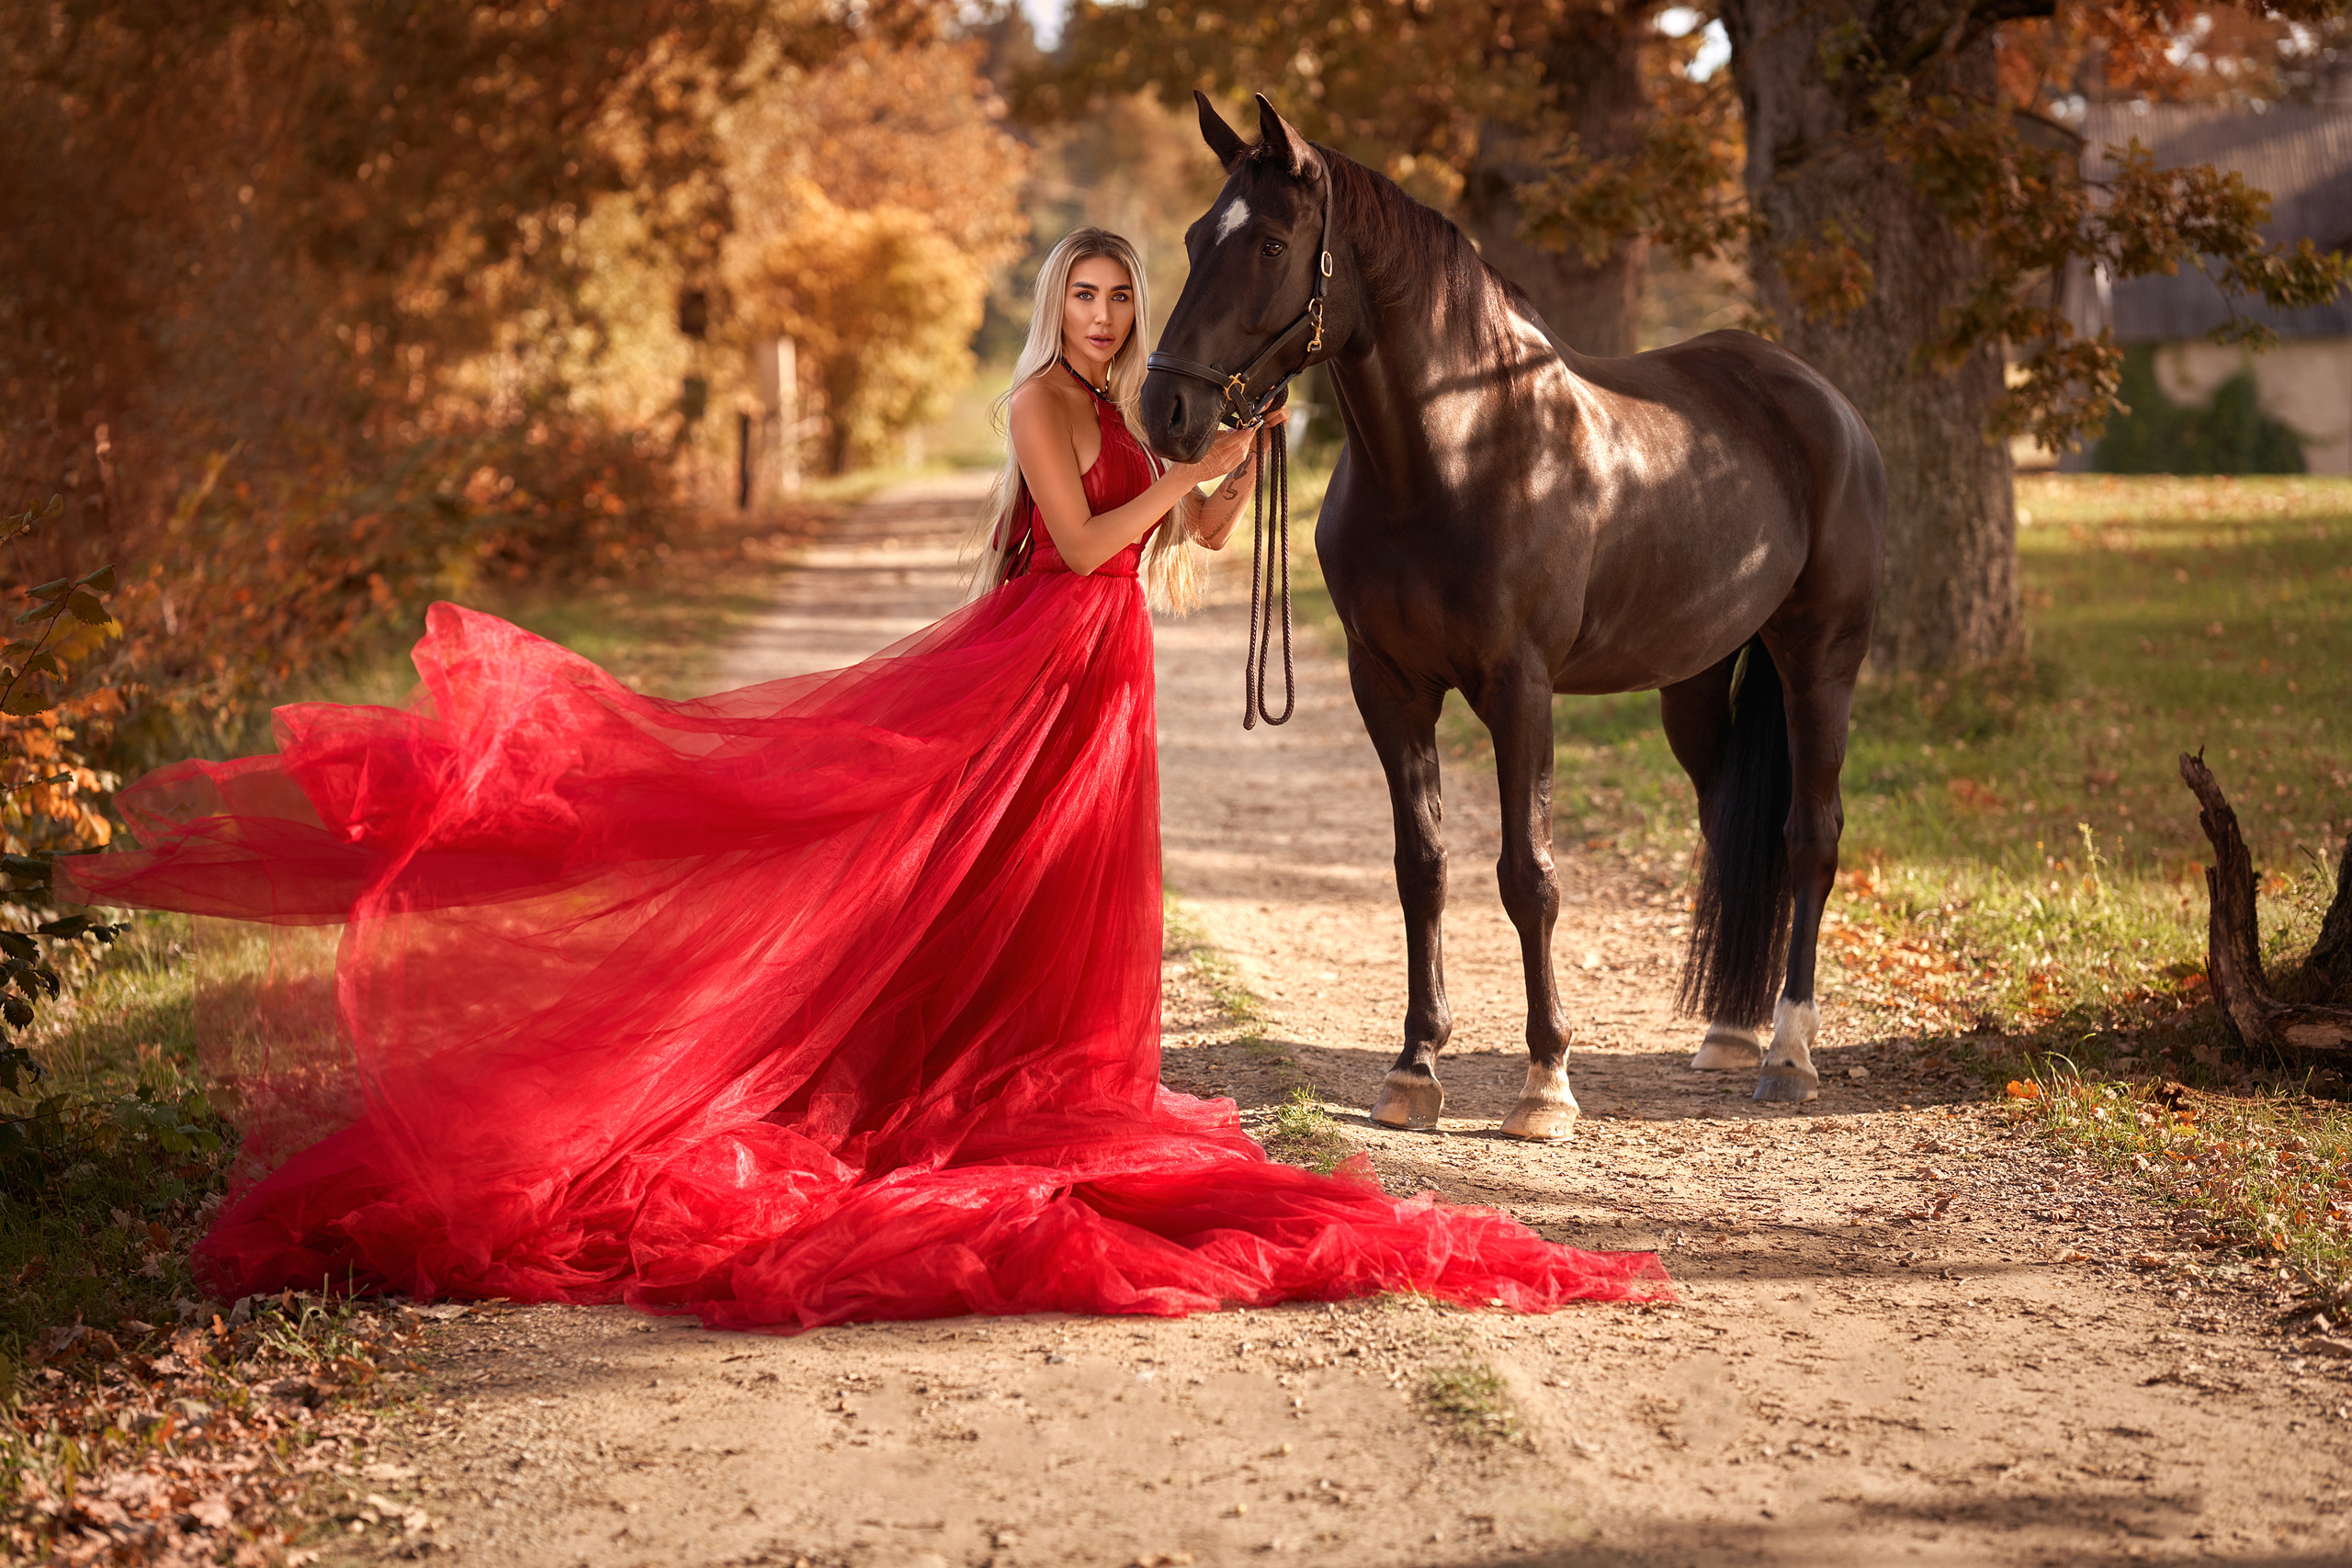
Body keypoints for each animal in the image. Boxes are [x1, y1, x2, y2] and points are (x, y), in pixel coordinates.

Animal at [1143, 94, 1886, 1136]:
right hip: (1697, 685)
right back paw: (1731, 1032)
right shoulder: (1389, 686)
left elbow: (1527, 876)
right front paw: (1414, 1068)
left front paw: (1546, 1080)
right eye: (1194, 236)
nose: (1163, 408)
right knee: (1732, 829)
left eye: (1272, 244)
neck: (1459, 453)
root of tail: (1824, 404)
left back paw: (1788, 1053)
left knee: (1809, 838)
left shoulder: (1520, 690)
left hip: (1820, 657)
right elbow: (1421, 866)